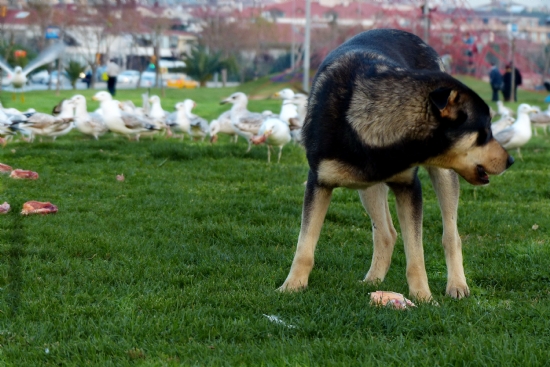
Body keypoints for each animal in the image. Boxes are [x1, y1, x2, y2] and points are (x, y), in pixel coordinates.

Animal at [282, 29, 516, 302]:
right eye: (485, 131)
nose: (511, 161)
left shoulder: (409, 187)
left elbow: (416, 254)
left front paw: (423, 297)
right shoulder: (319, 182)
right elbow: (304, 244)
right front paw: (292, 286)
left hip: (444, 175)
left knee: (451, 235)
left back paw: (456, 284)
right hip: (366, 185)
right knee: (386, 234)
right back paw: (373, 280)